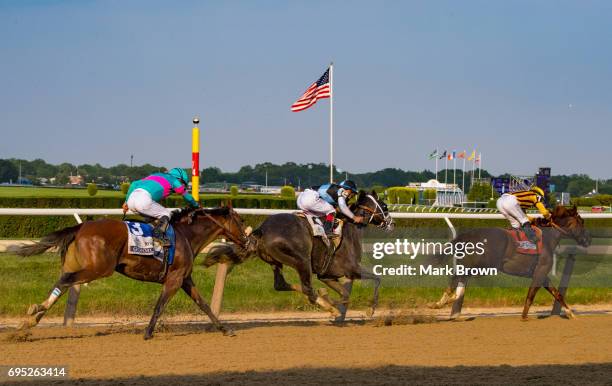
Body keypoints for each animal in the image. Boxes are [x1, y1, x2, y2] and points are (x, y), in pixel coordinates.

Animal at [9, 207, 246, 340]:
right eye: (241, 221)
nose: (247, 240)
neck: (186, 234)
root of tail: (81, 227)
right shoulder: (175, 279)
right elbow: (159, 305)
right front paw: (148, 333)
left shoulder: (184, 279)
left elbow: (204, 304)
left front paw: (225, 329)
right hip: (99, 268)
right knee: (67, 280)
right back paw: (33, 315)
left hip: (78, 265)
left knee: (62, 282)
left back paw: (29, 321)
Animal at [208, 190, 394, 320]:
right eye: (384, 206)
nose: (391, 223)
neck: (350, 228)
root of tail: (261, 230)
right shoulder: (352, 269)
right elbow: (377, 279)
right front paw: (369, 310)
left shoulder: (328, 275)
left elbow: (345, 294)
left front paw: (331, 300)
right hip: (302, 260)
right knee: (306, 288)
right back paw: (329, 307)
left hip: (275, 261)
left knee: (281, 284)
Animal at [428, 207, 592, 322]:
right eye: (581, 222)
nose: (587, 240)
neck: (548, 238)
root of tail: (468, 235)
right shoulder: (540, 272)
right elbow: (531, 294)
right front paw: (524, 316)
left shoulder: (542, 274)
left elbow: (556, 293)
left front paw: (570, 313)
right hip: (482, 265)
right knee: (456, 278)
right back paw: (442, 302)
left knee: (458, 280)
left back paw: (448, 301)